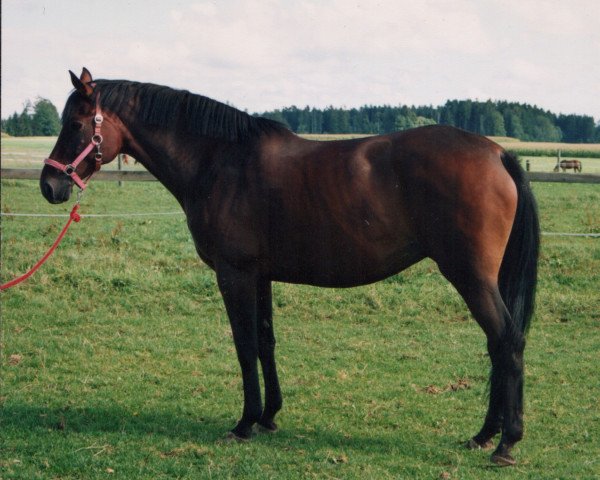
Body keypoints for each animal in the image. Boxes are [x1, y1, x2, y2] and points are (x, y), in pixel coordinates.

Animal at [39, 67, 540, 464]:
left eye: (77, 123)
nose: (49, 185)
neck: (219, 160)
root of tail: (496, 153)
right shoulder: (260, 276)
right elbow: (266, 342)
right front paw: (269, 417)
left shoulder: (235, 274)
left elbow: (244, 346)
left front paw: (243, 424)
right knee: (497, 344)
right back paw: (485, 435)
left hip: (470, 276)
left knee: (507, 341)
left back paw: (505, 444)